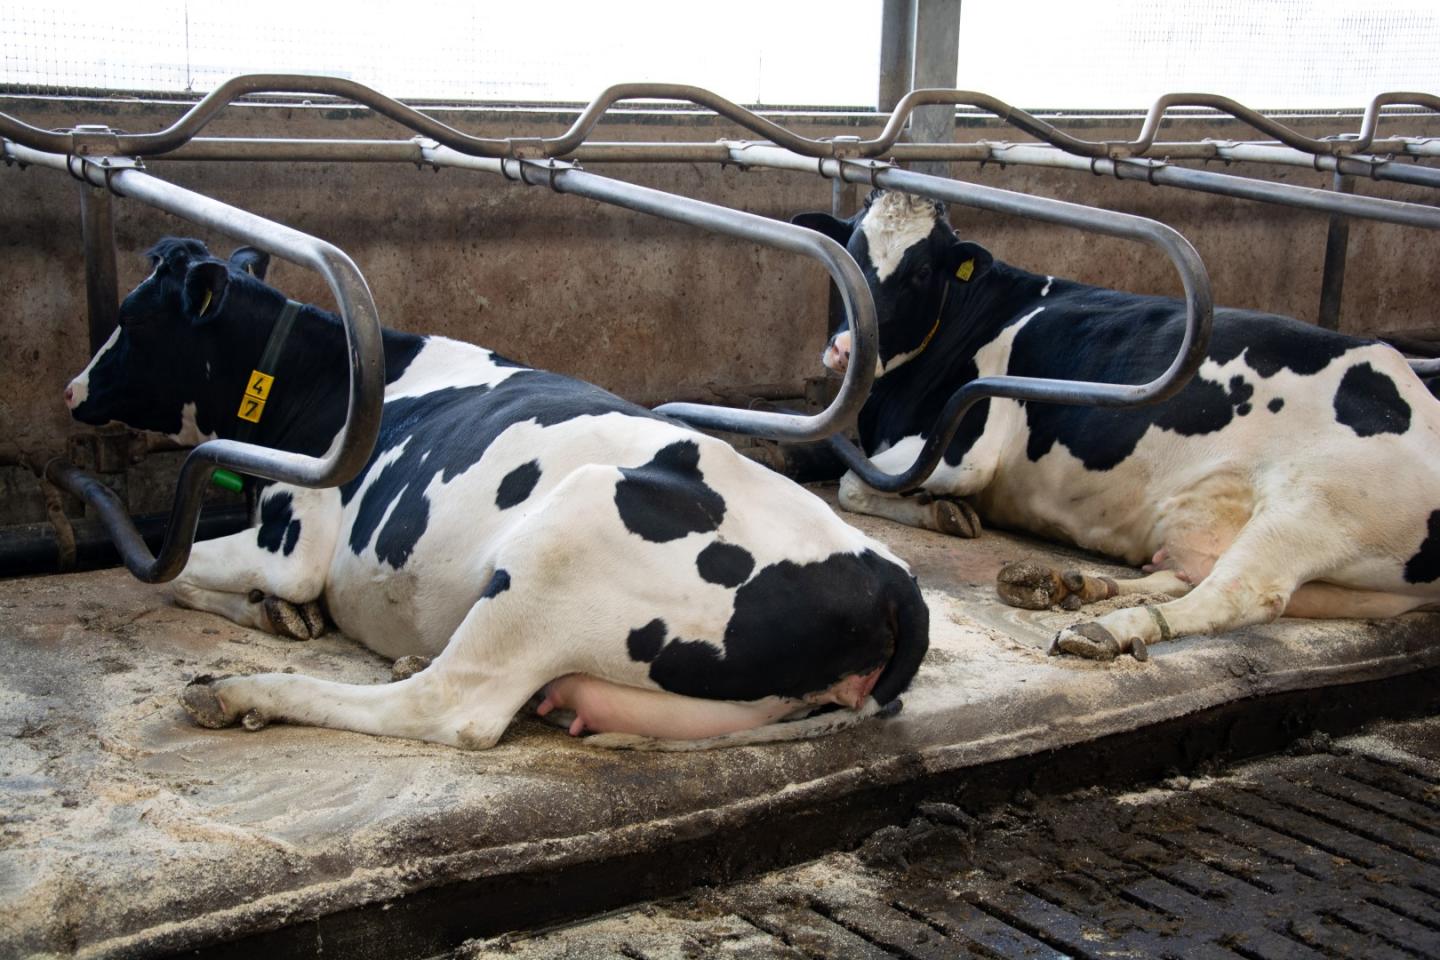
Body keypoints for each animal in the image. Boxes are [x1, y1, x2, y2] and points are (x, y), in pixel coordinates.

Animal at [67, 236, 927, 748]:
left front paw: (266, 610)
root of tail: (894, 581)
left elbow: (179, 573)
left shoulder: (292, 545)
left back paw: (240, 692)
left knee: (449, 708)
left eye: (131, 318)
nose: (72, 391)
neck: (321, 382)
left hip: (566, 532)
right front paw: (276, 616)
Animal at [800, 192, 1440, 664]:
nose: (845, 349)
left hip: (1312, 508)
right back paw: (1071, 586)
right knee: (1195, 575)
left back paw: (1107, 628)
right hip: (1367, 588)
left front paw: (942, 514)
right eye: (851, 252)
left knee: (1238, 594)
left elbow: (853, 487)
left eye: (922, 271)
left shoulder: (963, 450)